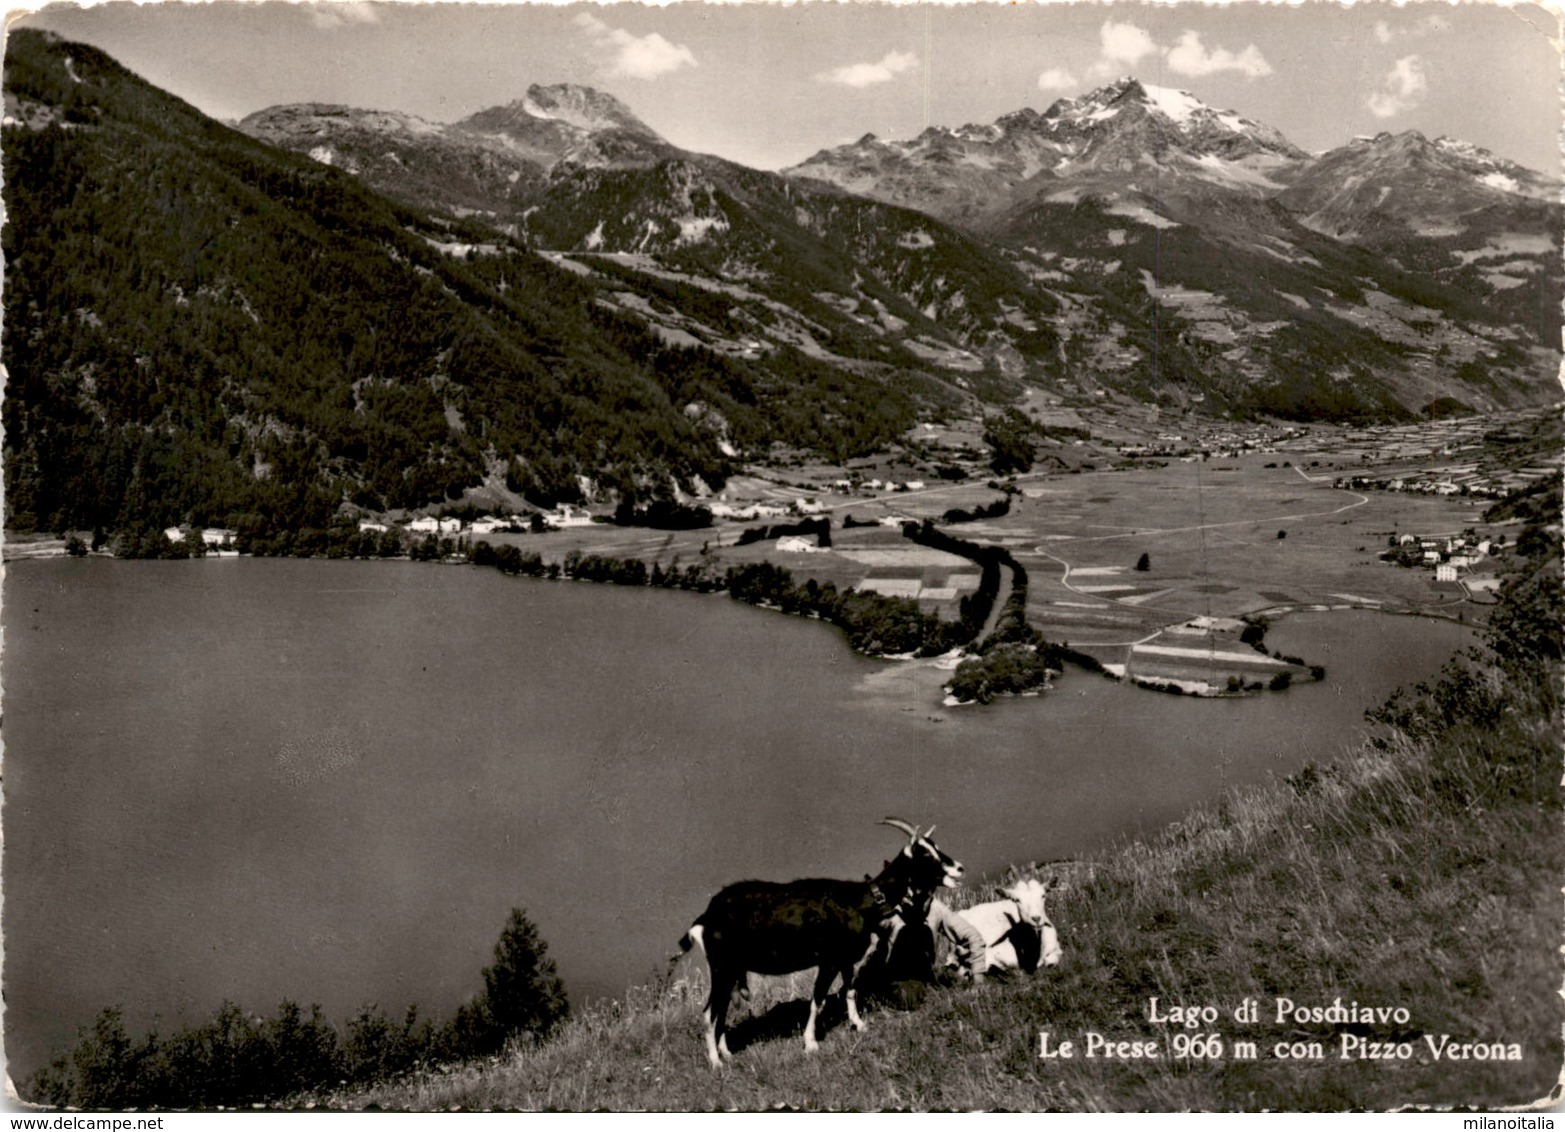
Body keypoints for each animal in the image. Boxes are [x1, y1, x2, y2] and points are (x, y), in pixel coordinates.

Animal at [676, 820, 957, 1064]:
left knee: (721, 1010)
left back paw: (727, 1054)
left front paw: (859, 1025)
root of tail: (706, 917)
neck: (861, 901)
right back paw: (716, 1062)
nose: (958, 868)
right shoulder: (829, 960)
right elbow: (818, 999)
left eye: (936, 847)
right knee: (709, 1012)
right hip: (721, 968)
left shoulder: (846, 959)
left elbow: (850, 990)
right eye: (925, 854)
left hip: (732, 970)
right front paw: (811, 1043)